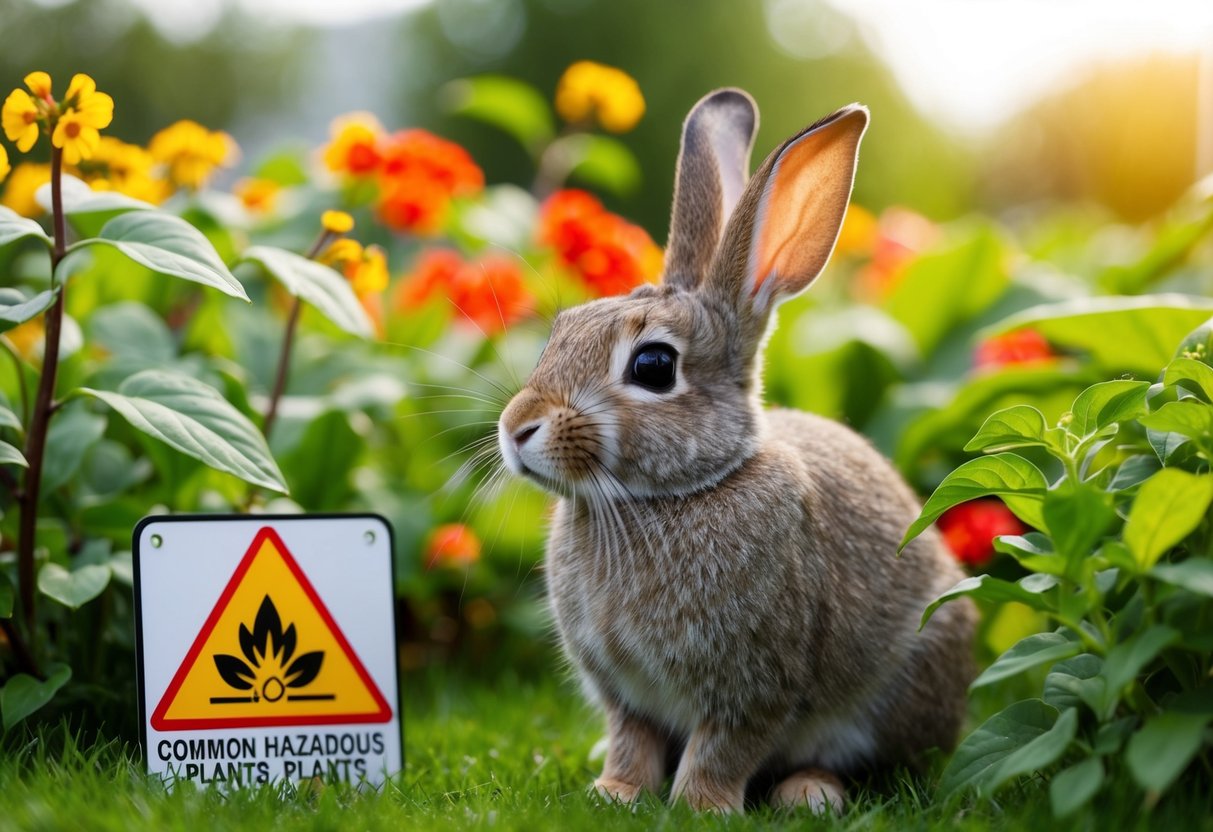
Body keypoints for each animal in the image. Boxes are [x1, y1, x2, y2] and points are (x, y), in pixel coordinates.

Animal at [496, 88, 975, 814]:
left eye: (654, 366)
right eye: (560, 330)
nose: (516, 427)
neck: (678, 492)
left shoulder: (756, 684)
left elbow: (724, 747)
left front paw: (700, 806)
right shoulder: (625, 694)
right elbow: (631, 739)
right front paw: (614, 791)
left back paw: (809, 792)